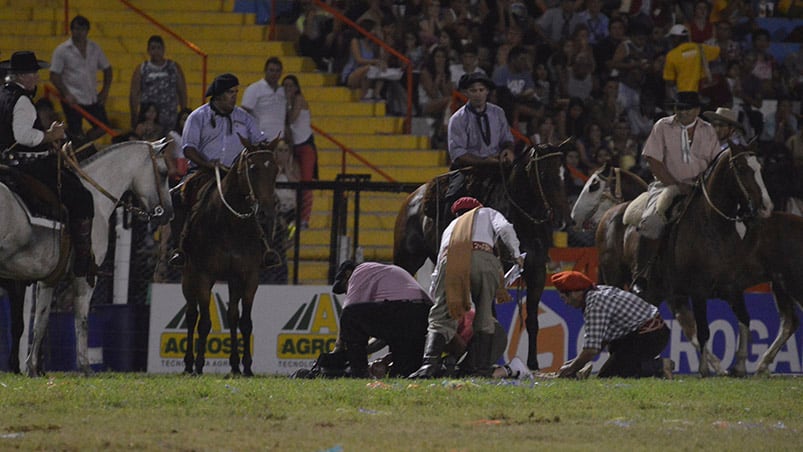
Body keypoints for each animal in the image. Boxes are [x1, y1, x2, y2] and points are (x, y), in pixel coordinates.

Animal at [0, 140, 174, 374]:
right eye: (164, 173)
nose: (169, 214)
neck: (97, 197)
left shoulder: (47, 280)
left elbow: (40, 323)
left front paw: (32, 367)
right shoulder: (85, 278)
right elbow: (81, 317)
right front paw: (84, 366)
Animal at [179, 139, 280, 378]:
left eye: (275, 169)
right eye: (252, 168)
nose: (266, 212)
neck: (230, 224)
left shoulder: (249, 277)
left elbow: (245, 322)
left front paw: (247, 367)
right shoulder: (204, 276)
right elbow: (204, 322)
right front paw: (199, 365)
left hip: (233, 280)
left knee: (233, 315)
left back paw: (234, 365)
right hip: (188, 275)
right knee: (191, 314)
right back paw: (188, 364)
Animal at [394, 142, 572, 370]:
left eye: (564, 174)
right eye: (543, 173)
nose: (562, 220)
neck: (519, 217)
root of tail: (412, 199)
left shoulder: (537, 271)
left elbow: (532, 319)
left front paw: (532, 363)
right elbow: (491, 316)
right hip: (407, 259)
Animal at [596, 143, 780, 376]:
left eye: (760, 167)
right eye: (740, 168)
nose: (766, 207)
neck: (713, 227)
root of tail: (609, 215)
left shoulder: (733, 288)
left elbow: (745, 320)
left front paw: (739, 365)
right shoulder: (698, 290)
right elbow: (703, 331)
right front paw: (704, 369)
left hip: (654, 292)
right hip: (616, 279)